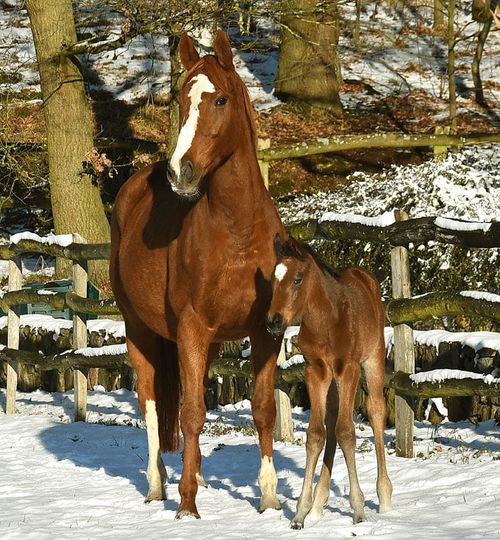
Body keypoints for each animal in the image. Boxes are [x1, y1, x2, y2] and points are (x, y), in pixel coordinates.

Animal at [112, 30, 288, 520]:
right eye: (180, 99)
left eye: (220, 99)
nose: (180, 171)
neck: (238, 232)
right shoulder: (191, 328)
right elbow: (190, 413)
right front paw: (187, 504)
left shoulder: (265, 331)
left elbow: (263, 410)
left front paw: (269, 497)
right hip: (140, 330)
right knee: (152, 405)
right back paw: (159, 485)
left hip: (203, 344)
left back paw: (201, 477)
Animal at [268, 235, 392, 528]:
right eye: (272, 278)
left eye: (297, 279)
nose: (273, 322)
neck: (326, 321)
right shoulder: (315, 370)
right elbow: (316, 434)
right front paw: (300, 513)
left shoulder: (348, 369)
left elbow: (347, 432)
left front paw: (358, 510)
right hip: (333, 380)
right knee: (332, 419)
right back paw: (318, 503)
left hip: (373, 359)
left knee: (376, 412)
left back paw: (384, 497)